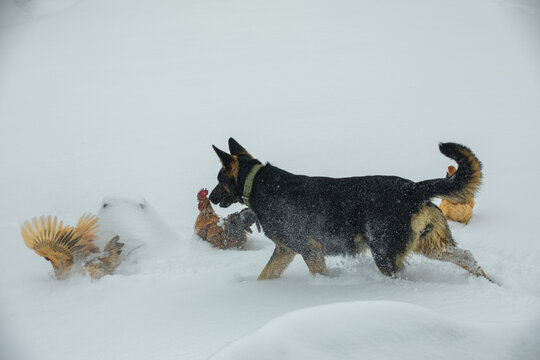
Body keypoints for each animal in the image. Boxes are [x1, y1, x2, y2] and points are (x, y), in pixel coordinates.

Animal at [211, 138, 494, 282]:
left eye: (219, 179)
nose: (211, 198)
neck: (257, 182)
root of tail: (412, 188)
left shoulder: (308, 250)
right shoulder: (286, 250)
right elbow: (265, 275)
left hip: (385, 255)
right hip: (429, 243)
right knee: (466, 257)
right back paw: (487, 282)